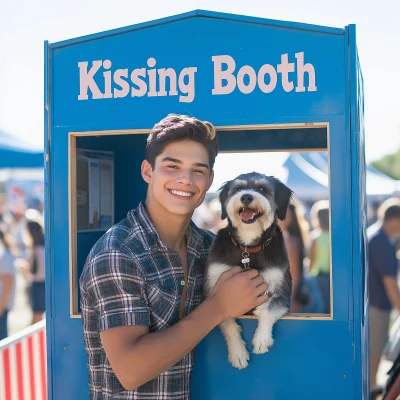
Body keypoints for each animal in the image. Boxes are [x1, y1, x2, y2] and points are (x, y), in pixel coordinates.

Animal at [205, 172, 292, 368]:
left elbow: (267, 310)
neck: (248, 247)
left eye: (262, 189)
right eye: (238, 189)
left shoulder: (282, 292)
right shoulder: (215, 290)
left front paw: (261, 339)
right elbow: (227, 321)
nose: (246, 197)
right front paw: (237, 352)